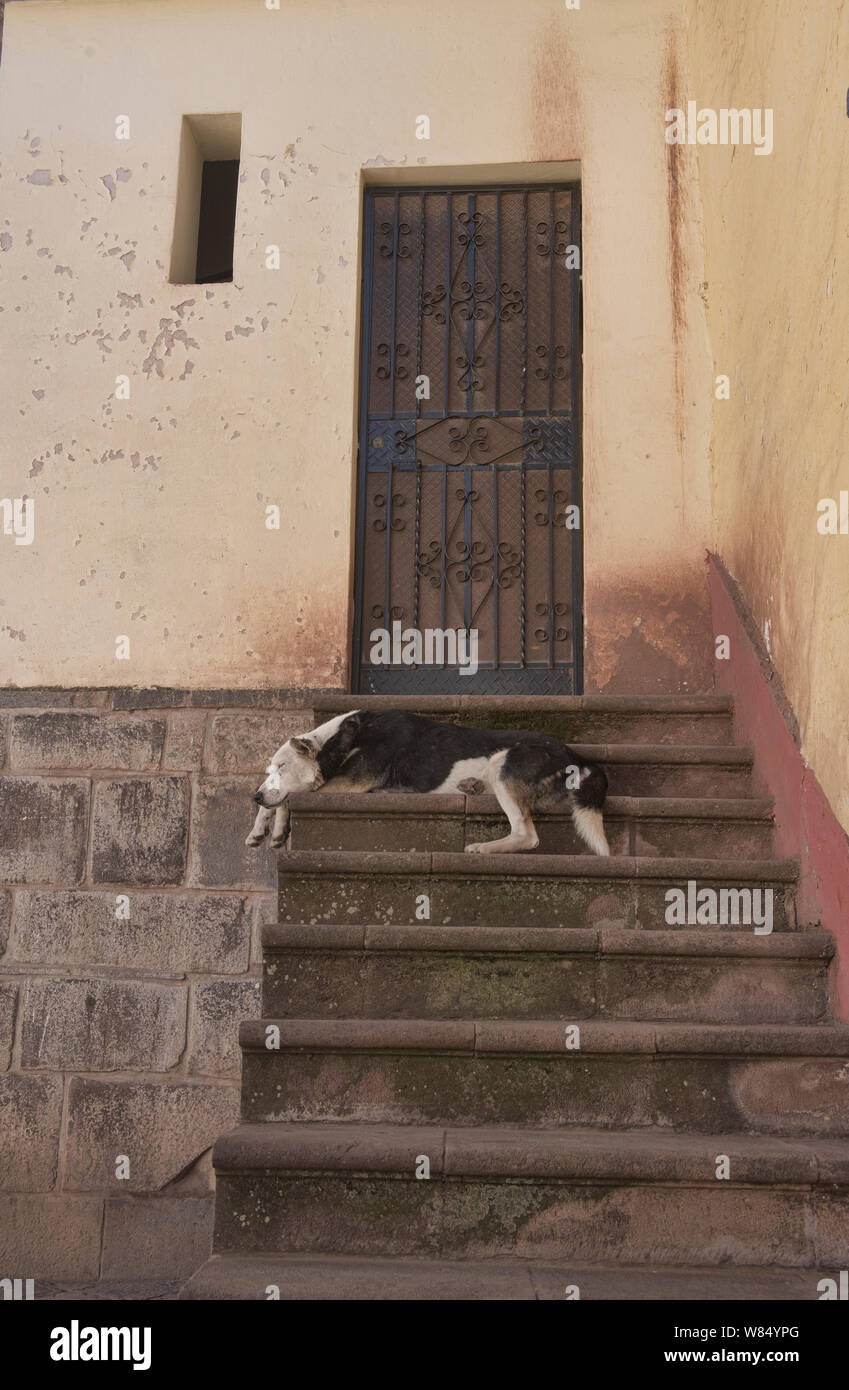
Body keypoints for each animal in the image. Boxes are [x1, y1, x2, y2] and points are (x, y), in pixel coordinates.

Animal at [245, 711, 611, 850]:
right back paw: (471, 787)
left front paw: (277, 829)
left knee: (527, 835)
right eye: (270, 769)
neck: (342, 739)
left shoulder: (346, 784)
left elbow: (290, 798)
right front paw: (258, 829)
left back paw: (483, 848)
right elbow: (277, 801)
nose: (255, 796)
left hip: (504, 763)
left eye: (282, 766)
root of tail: (577, 756)